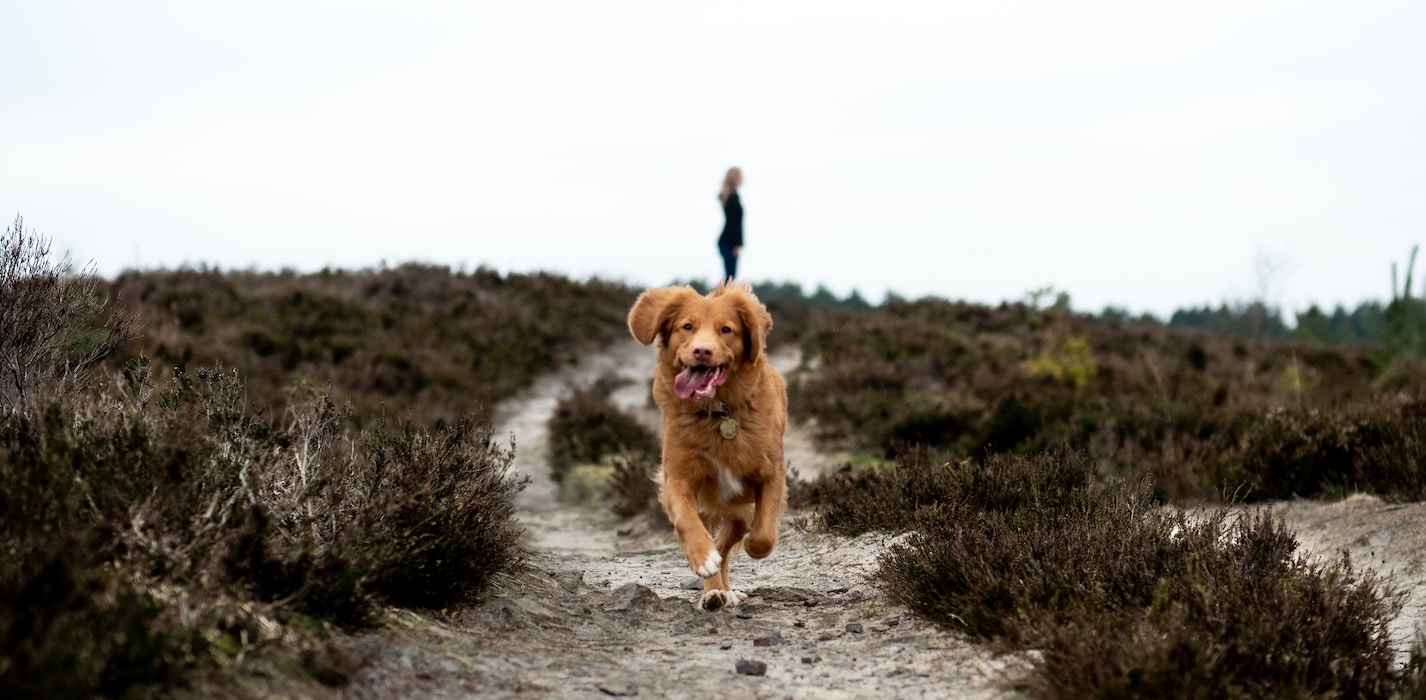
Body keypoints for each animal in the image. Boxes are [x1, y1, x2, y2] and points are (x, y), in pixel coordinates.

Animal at [627, 282, 792, 610]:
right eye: (687, 327)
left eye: (726, 330)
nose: (702, 350)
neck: (718, 411)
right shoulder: (678, 477)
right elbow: (688, 522)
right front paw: (703, 559)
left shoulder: (771, 474)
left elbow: (762, 535)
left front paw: (750, 548)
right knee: (717, 544)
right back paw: (715, 591)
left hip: (738, 511)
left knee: (728, 544)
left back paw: (725, 588)